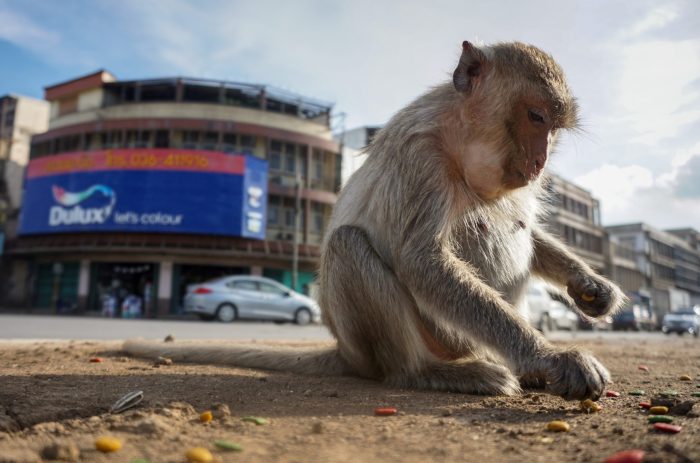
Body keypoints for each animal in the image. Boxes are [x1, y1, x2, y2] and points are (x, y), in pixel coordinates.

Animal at [126, 40, 624, 402]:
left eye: (553, 129)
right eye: (536, 116)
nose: (541, 161)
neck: (459, 139)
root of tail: (345, 352)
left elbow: (530, 235)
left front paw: (591, 287)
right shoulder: (421, 158)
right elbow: (422, 260)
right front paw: (550, 358)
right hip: (400, 343)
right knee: (348, 245)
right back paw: (427, 372)